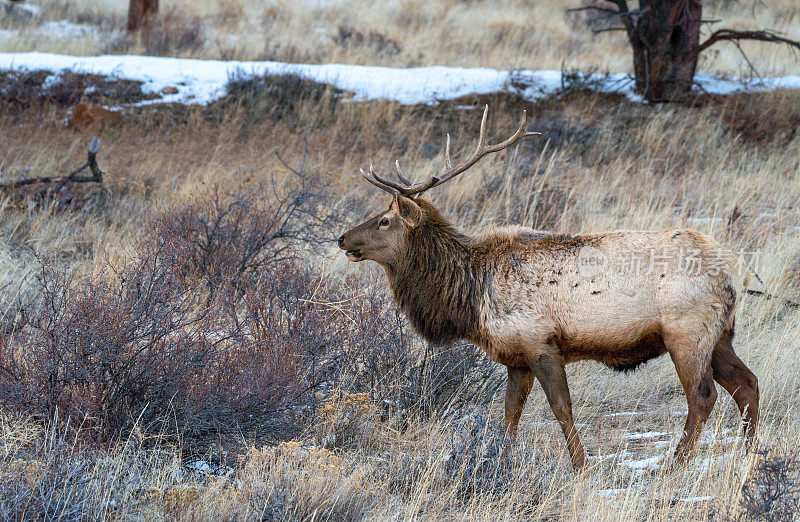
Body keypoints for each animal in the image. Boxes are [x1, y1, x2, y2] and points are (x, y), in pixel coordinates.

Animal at [336, 104, 756, 468]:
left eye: (385, 221)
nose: (342, 238)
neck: (471, 296)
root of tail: (735, 272)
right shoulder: (516, 355)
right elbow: (511, 412)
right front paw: (501, 461)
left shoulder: (540, 342)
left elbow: (560, 408)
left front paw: (581, 467)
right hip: (721, 334)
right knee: (747, 384)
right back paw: (750, 455)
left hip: (687, 332)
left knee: (703, 397)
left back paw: (673, 466)